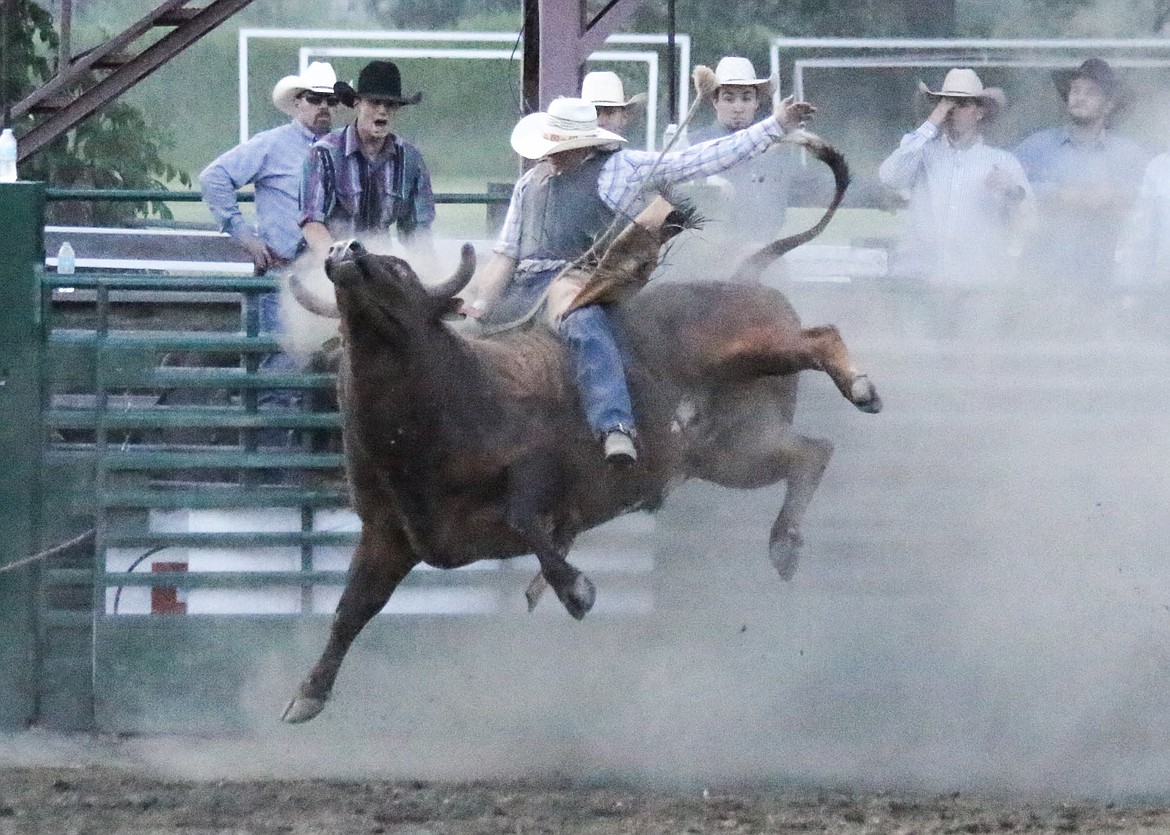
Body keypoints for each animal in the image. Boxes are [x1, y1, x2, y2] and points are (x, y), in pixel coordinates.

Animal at [283, 129, 879, 720]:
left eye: (403, 270)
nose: (346, 249)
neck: (456, 399)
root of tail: (743, 280)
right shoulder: (388, 535)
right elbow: (353, 607)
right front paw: (308, 693)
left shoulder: (540, 475)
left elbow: (527, 519)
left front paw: (576, 590)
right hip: (733, 452)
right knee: (811, 452)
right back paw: (785, 545)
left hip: (751, 361)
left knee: (820, 340)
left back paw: (860, 389)